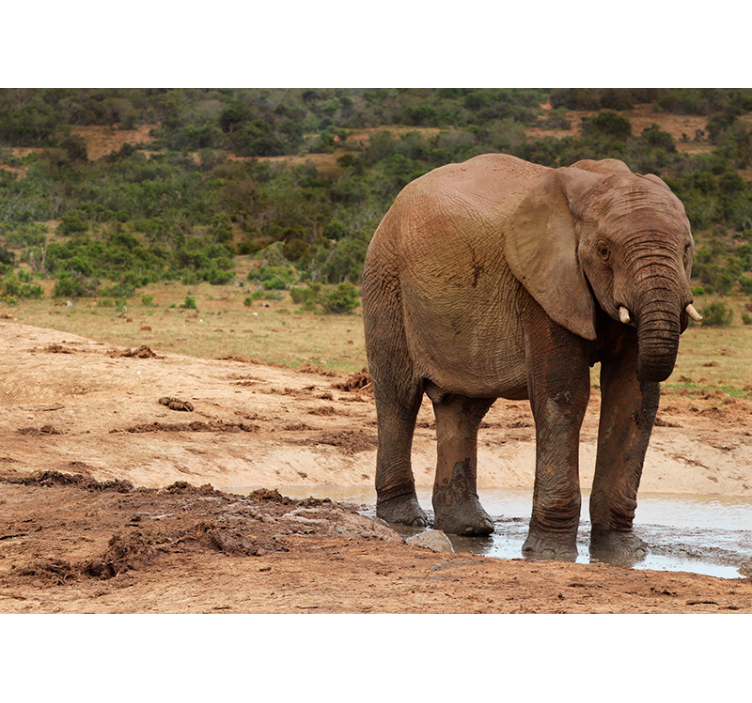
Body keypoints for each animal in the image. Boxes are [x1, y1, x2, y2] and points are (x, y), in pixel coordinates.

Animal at [361, 153, 700, 558]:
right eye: (604, 250)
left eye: (687, 248)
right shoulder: (541, 284)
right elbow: (564, 394)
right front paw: (550, 554)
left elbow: (633, 399)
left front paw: (623, 554)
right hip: (386, 279)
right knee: (399, 397)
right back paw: (405, 521)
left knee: (463, 408)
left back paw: (469, 529)